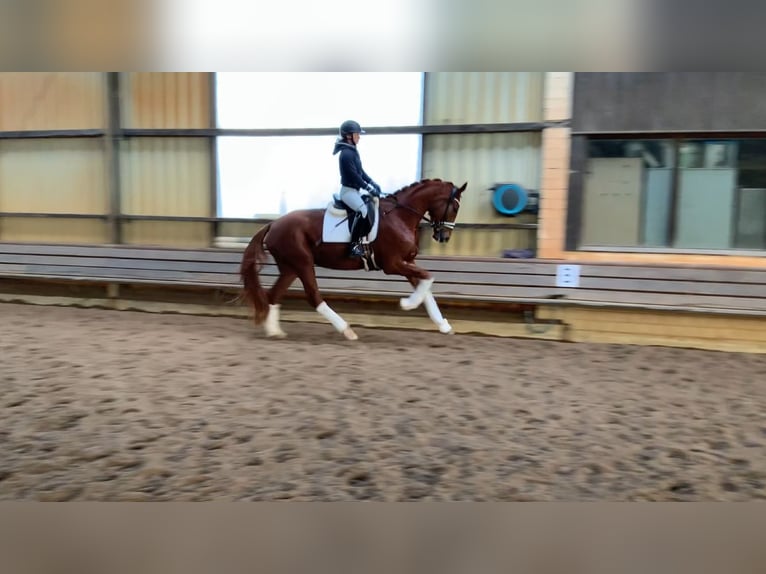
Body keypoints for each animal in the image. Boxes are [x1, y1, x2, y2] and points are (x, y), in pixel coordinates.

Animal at [240, 180, 468, 340]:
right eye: (455, 208)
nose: (444, 237)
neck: (400, 216)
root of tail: (273, 224)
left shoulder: (407, 262)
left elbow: (426, 288)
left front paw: (444, 325)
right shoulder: (393, 264)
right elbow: (428, 278)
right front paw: (407, 304)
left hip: (290, 267)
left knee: (274, 294)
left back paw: (274, 332)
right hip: (302, 263)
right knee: (313, 296)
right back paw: (347, 330)